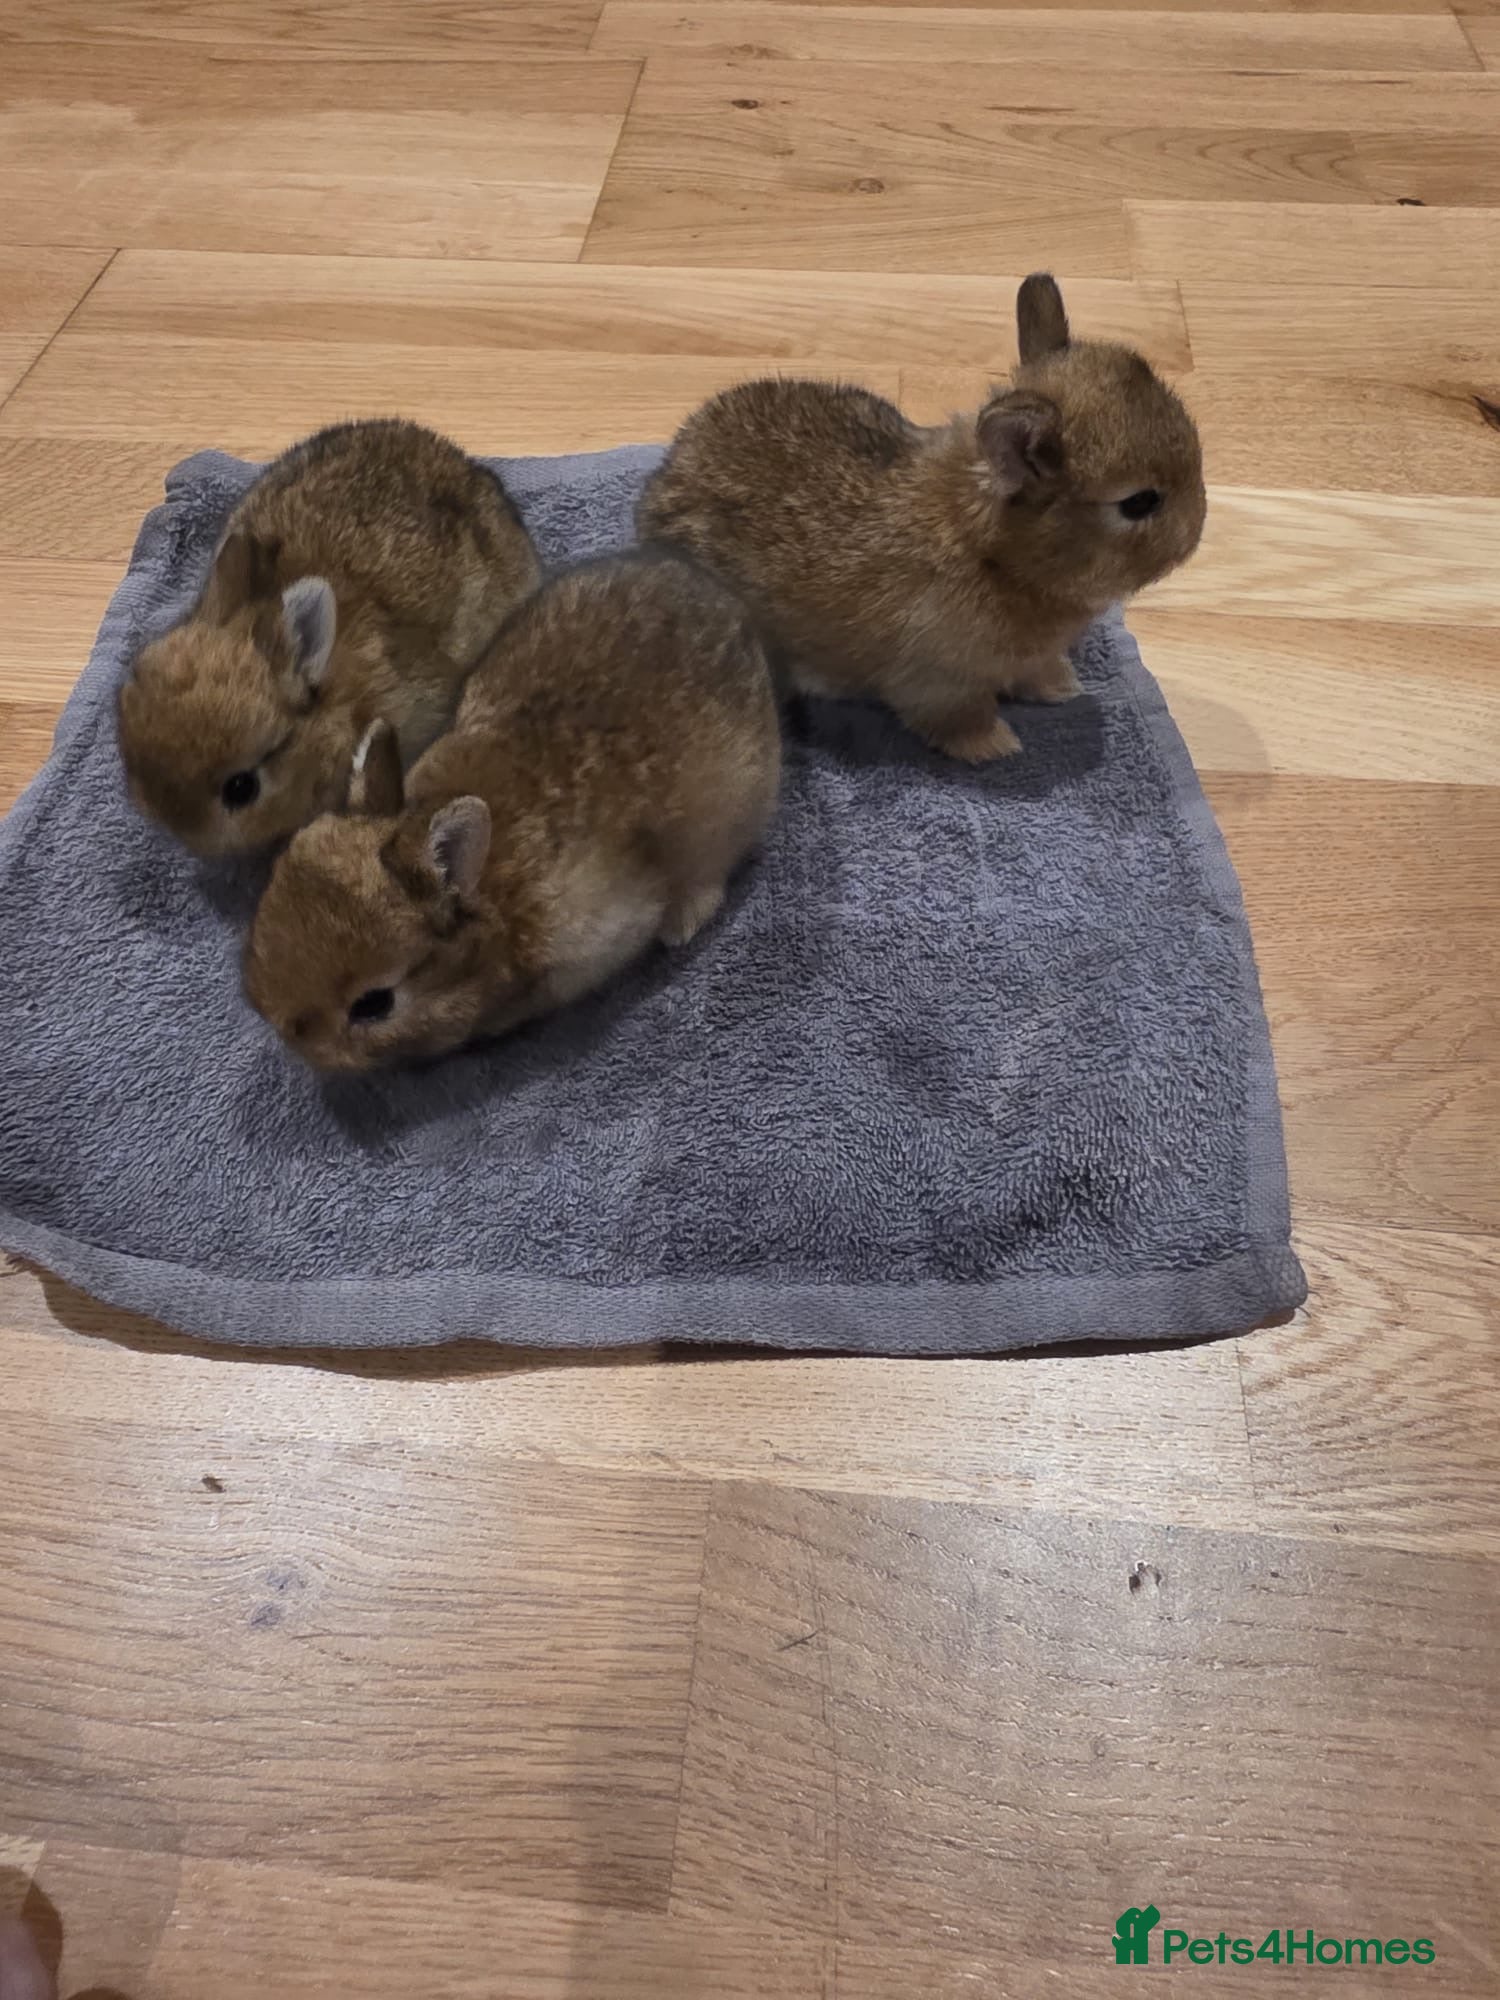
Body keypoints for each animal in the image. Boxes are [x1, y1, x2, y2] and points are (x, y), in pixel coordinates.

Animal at [639, 273, 1206, 763]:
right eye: (1139, 503)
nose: (1194, 535)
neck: (995, 555)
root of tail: (660, 487)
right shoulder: (942, 684)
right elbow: (959, 719)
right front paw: (998, 746)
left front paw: (1062, 687)